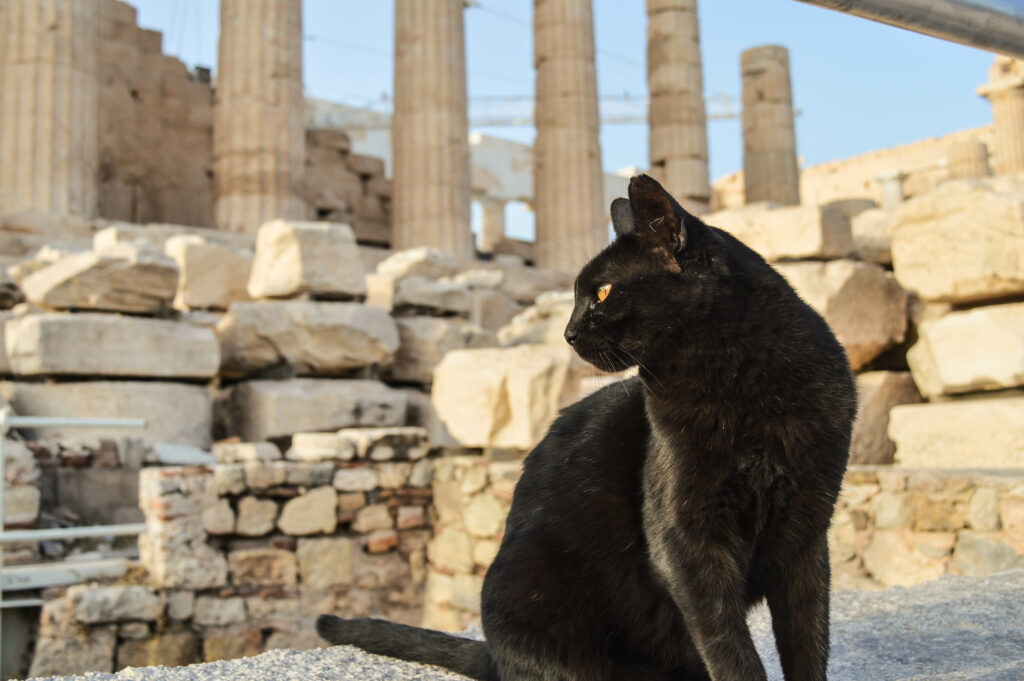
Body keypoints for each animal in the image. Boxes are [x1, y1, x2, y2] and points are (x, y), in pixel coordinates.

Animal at [317, 175, 856, 679]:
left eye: (601, 292)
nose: (568, 332)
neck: (742, 384)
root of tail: (493, 655)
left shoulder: (807, 531)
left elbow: (808, 639)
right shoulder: (684, 537)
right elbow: (731, 648)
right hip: (530, 588)